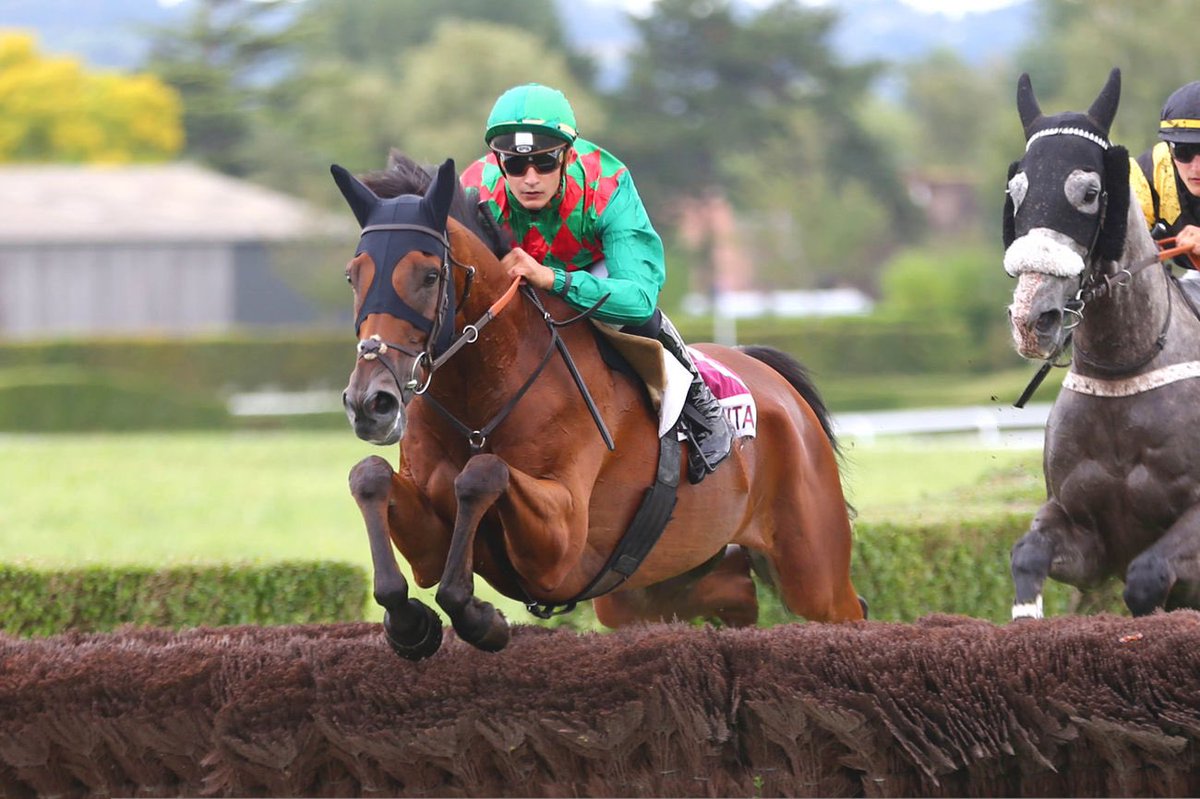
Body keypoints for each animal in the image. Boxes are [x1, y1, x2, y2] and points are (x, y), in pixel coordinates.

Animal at [330, 151, 866, 658]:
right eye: (354, 275)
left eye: (428, 274)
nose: (370, 402)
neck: (479, 398)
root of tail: (776, 384)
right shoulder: (431, 540)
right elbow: (370, 476)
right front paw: (409, 622)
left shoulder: (561, 544)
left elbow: (482, 473)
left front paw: (478, 616)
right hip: (657, 584)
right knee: (737, 596)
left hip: (813, 574)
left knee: (846, 608)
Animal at [1004, 67, 1200, 619]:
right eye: (1016, 190)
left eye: (1090, 191)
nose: (1032, 318)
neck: (1125, 370)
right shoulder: (1087, 536)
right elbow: (1027, 555)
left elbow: (1147, 579)